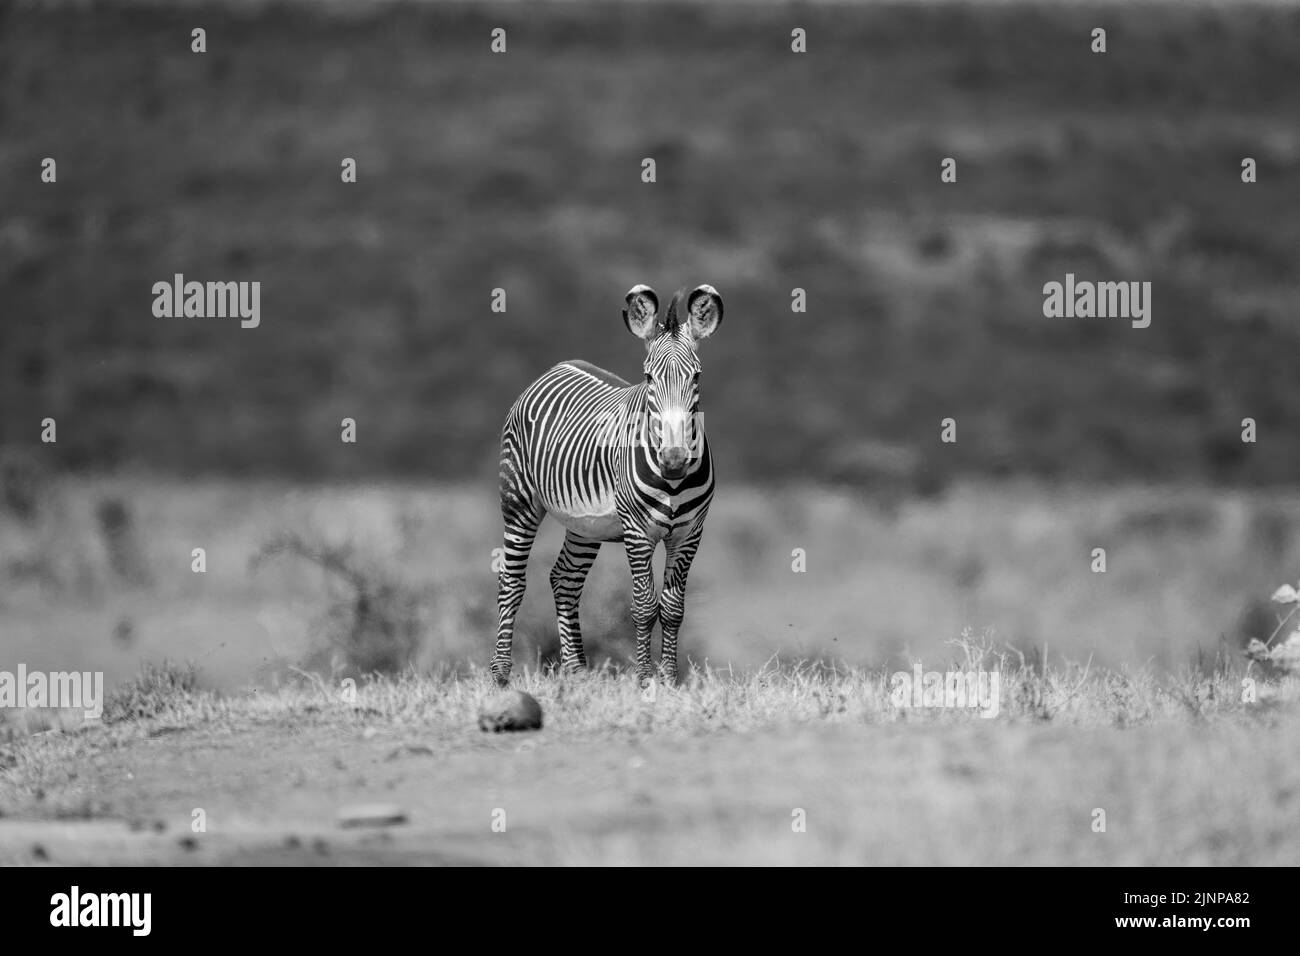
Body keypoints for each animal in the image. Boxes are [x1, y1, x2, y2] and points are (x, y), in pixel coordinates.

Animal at [491, 283, 723, 687]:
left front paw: (670, 681)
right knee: (511, 579)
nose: (675, 459)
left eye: (696, 377)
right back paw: (501, 675)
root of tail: (559, 365)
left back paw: (577, 674)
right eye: (648, 378)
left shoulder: (689, 534)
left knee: (565, 579)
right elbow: (644, 606)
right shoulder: (637, 532)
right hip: (519, 500)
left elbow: (673, 608)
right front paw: (645, 680)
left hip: (586, 524)